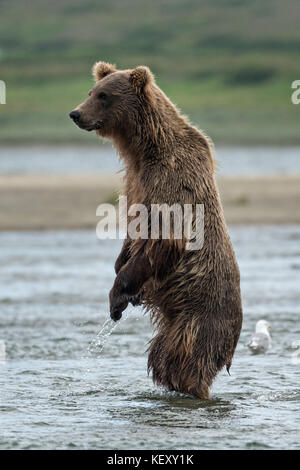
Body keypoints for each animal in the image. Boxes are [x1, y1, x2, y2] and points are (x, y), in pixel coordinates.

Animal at [70, 61, 244, 400]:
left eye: (104, 96)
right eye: (91, 91)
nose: (76, 113)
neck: (145, 148)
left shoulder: (171, 178)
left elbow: (166, 235)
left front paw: (119, 293)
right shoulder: (136, 180)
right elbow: (134, 232)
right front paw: (121, 270)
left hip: (199, 316)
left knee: (188, 360)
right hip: (175, 322)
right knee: (163, 357)